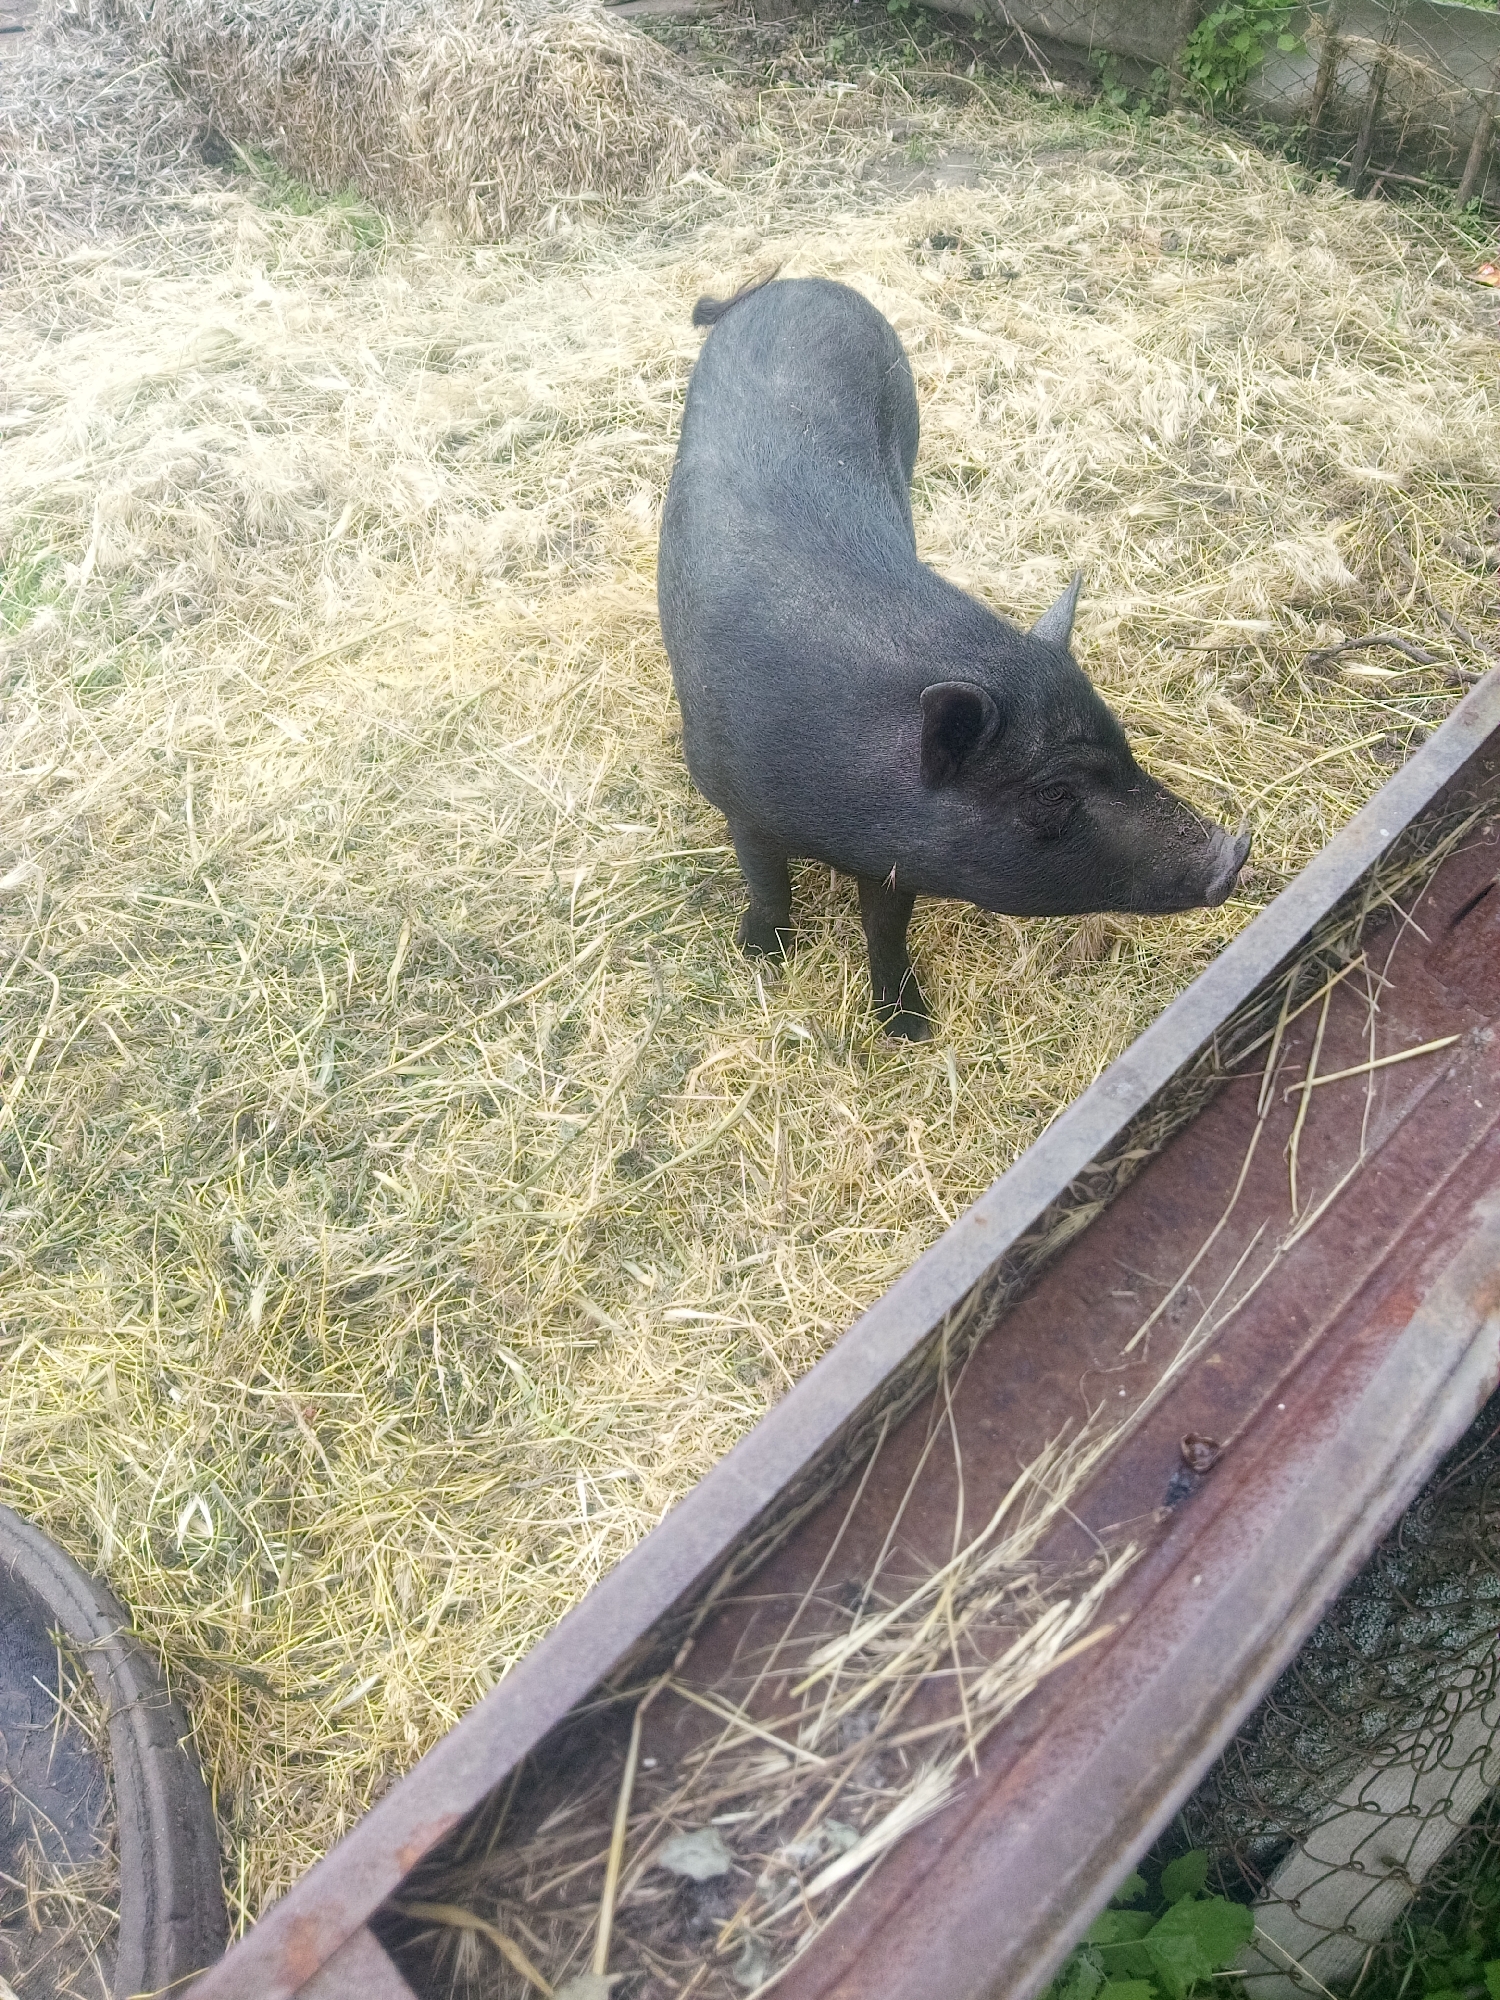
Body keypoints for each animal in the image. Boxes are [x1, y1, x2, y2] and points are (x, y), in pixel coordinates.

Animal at [656, 276, 1249, 1041]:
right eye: (1051, 791)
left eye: (1125, 747)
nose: (1233, 853)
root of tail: (803, 281)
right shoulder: (736, 798)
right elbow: (769, 886)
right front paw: (762, 954)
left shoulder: (896, 859)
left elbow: (885, 930)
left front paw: (908, 1028)